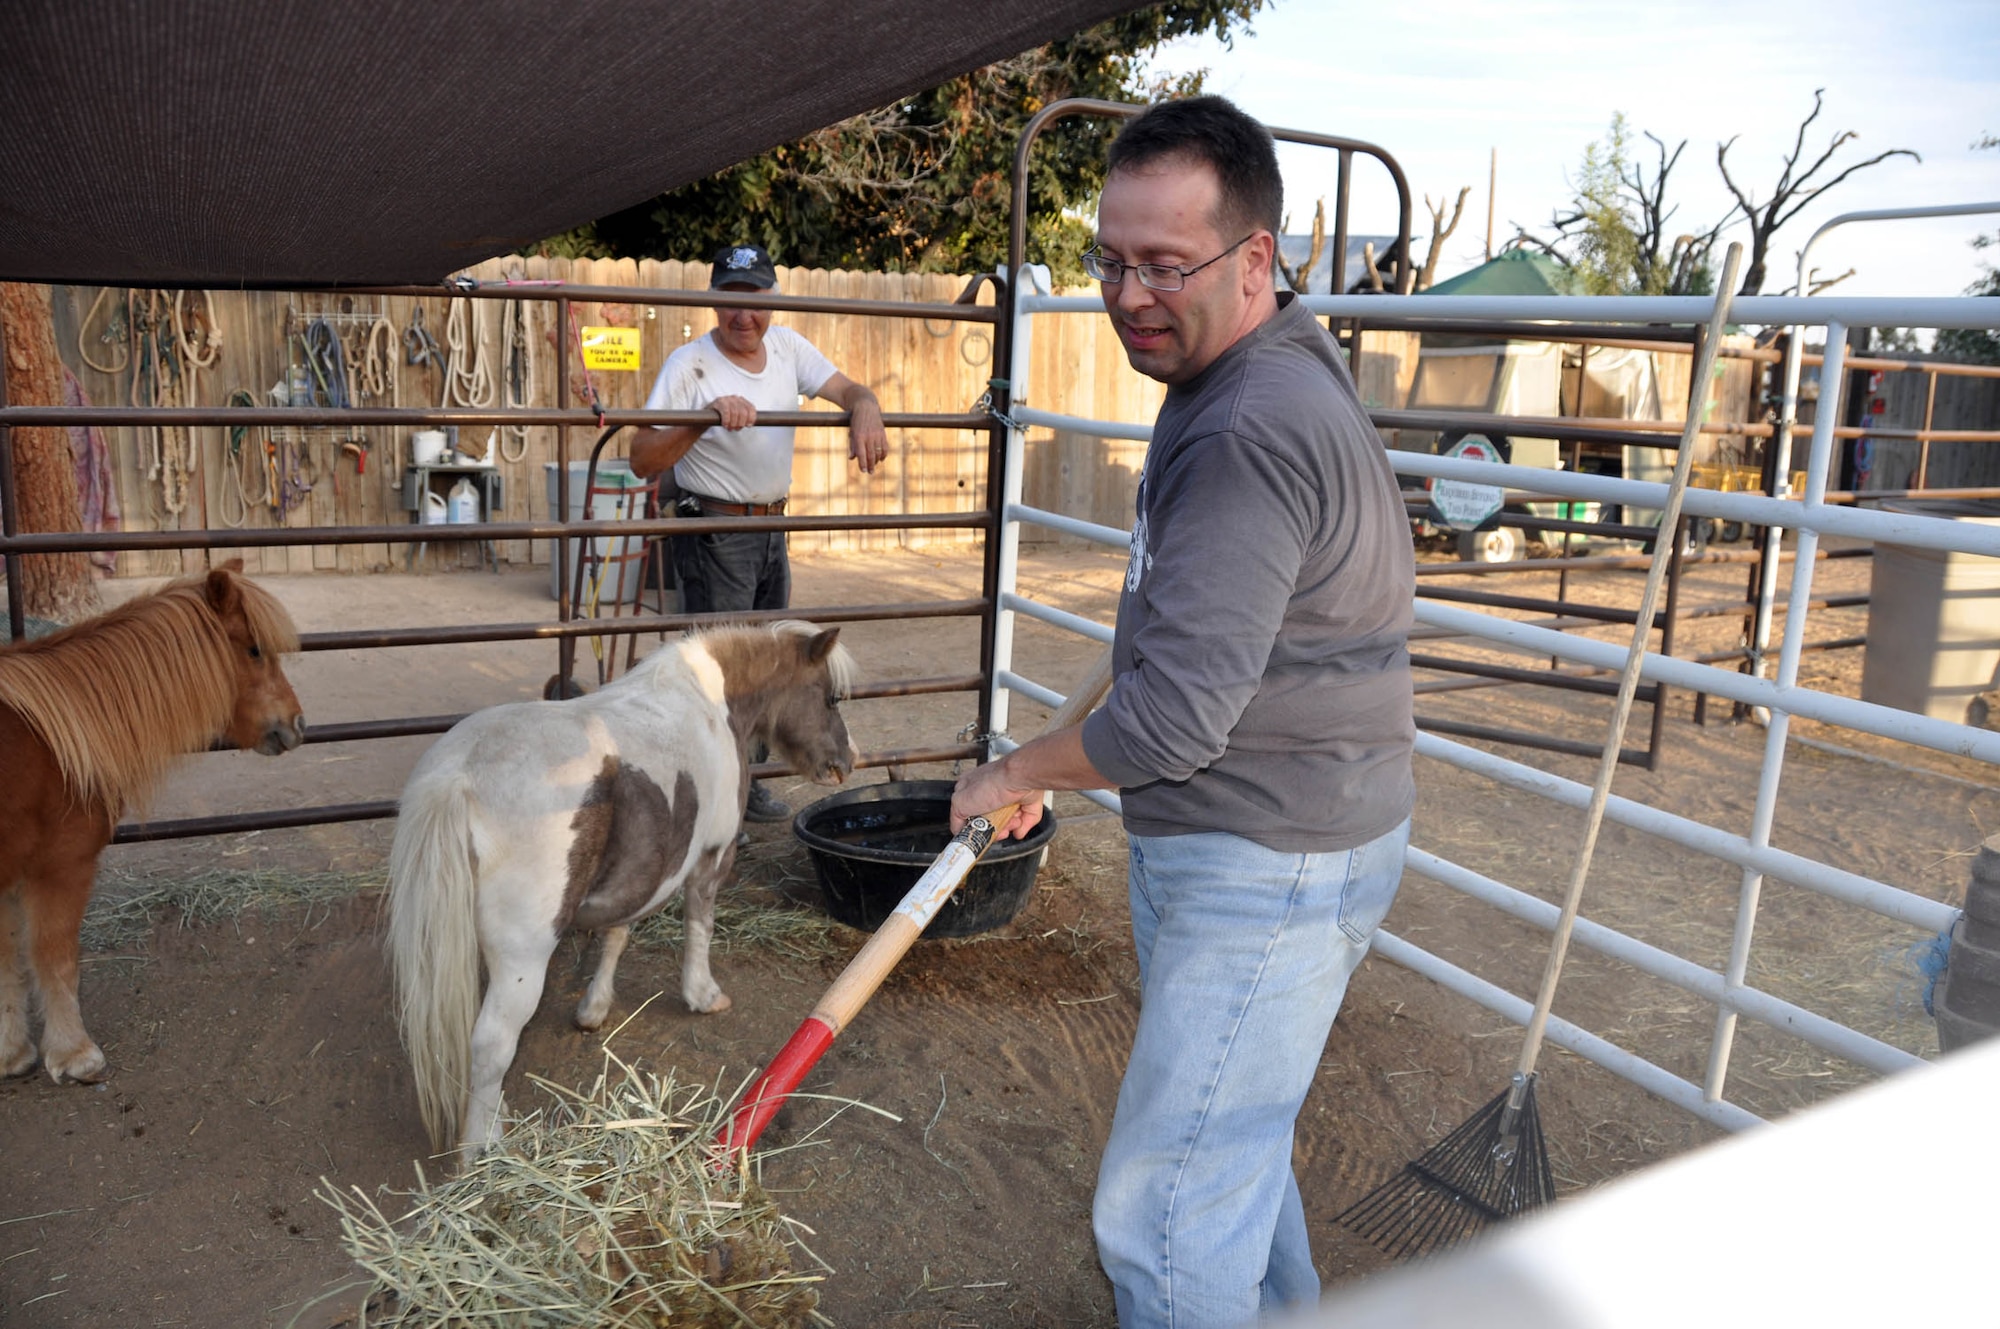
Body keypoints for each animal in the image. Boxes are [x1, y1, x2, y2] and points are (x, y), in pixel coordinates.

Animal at [0, 556, 304, 1088]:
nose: (297, 724)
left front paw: (12, 1054)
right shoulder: (59, 868)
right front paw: (75, 1055)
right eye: (254, 650)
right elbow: (55, 958)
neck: (50, 744)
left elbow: (6, 963)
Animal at [390, 616, 860, 1160]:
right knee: (490, 1045)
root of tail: (462, 777)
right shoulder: (711, 858)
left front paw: (593, 1009)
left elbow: (616, 934)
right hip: (522, 958)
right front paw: (703, 995)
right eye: (830, 698)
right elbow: (699, 926)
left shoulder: (637, 876)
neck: (709, 702)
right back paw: (482, 1151)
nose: (847, 760)